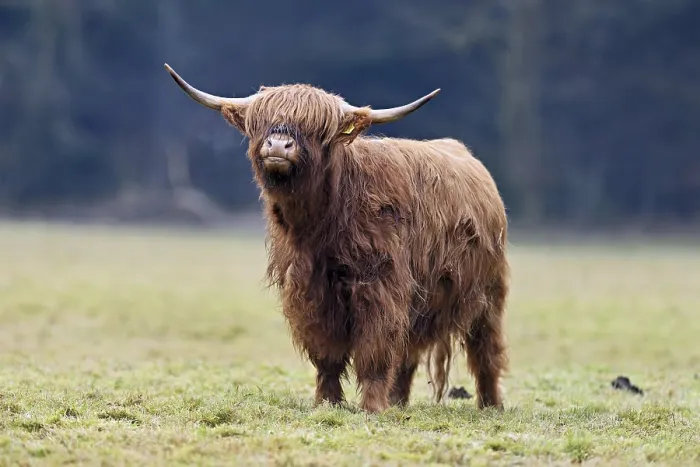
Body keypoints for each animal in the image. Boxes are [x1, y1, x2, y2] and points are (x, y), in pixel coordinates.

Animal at [164, 63, 510, 413]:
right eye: (260, 122)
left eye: (317, 128)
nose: (278, 145)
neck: (320, 224)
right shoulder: (310, 289)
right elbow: (327, 353)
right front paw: (327, 401)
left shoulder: (380, 283)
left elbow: (375, 348)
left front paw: (372, 406)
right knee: (408, 353)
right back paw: (398, 402)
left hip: (488, 293)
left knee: (486, 351)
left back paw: (490, 404)